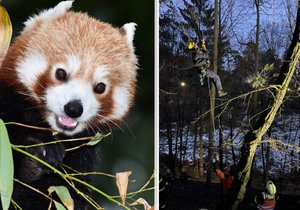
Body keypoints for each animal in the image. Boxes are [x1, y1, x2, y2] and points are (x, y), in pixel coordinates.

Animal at [0, 0, 138, 209]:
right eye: (61, 73)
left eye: (100, 87)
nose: (73, 109)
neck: (48, 130)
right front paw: (35, 157)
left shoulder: (82, 157)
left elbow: (64, 195)